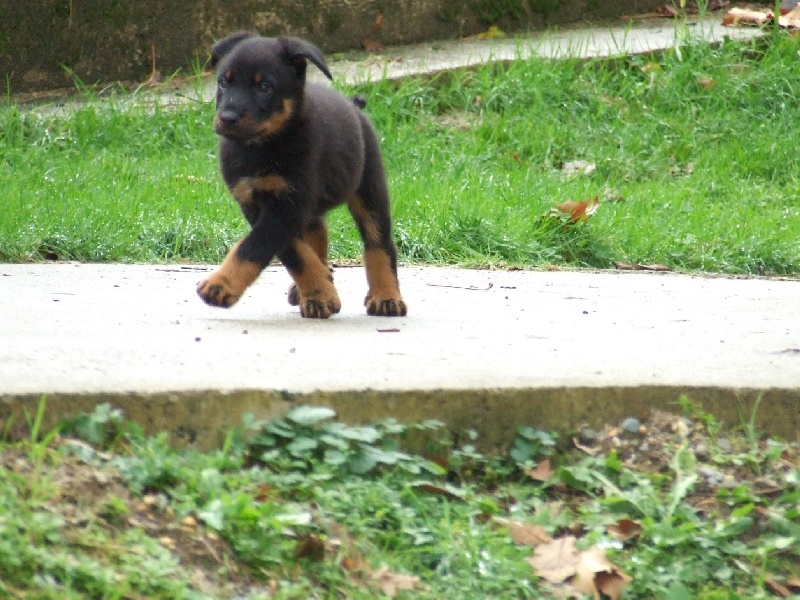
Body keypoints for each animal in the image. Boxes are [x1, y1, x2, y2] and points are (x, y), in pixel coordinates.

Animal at [195, 32, 406, 318]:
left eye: (265, 87)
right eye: (224, 83)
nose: (227, 118)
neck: (260, 148)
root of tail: (354, 107)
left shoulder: (286, 206)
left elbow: (254, 247)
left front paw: (219, 285)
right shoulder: (256, 204)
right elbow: (296, 253)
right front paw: (321, 292)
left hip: (369, 188)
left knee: (378, 243)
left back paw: (385, 297)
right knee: (318, 233)